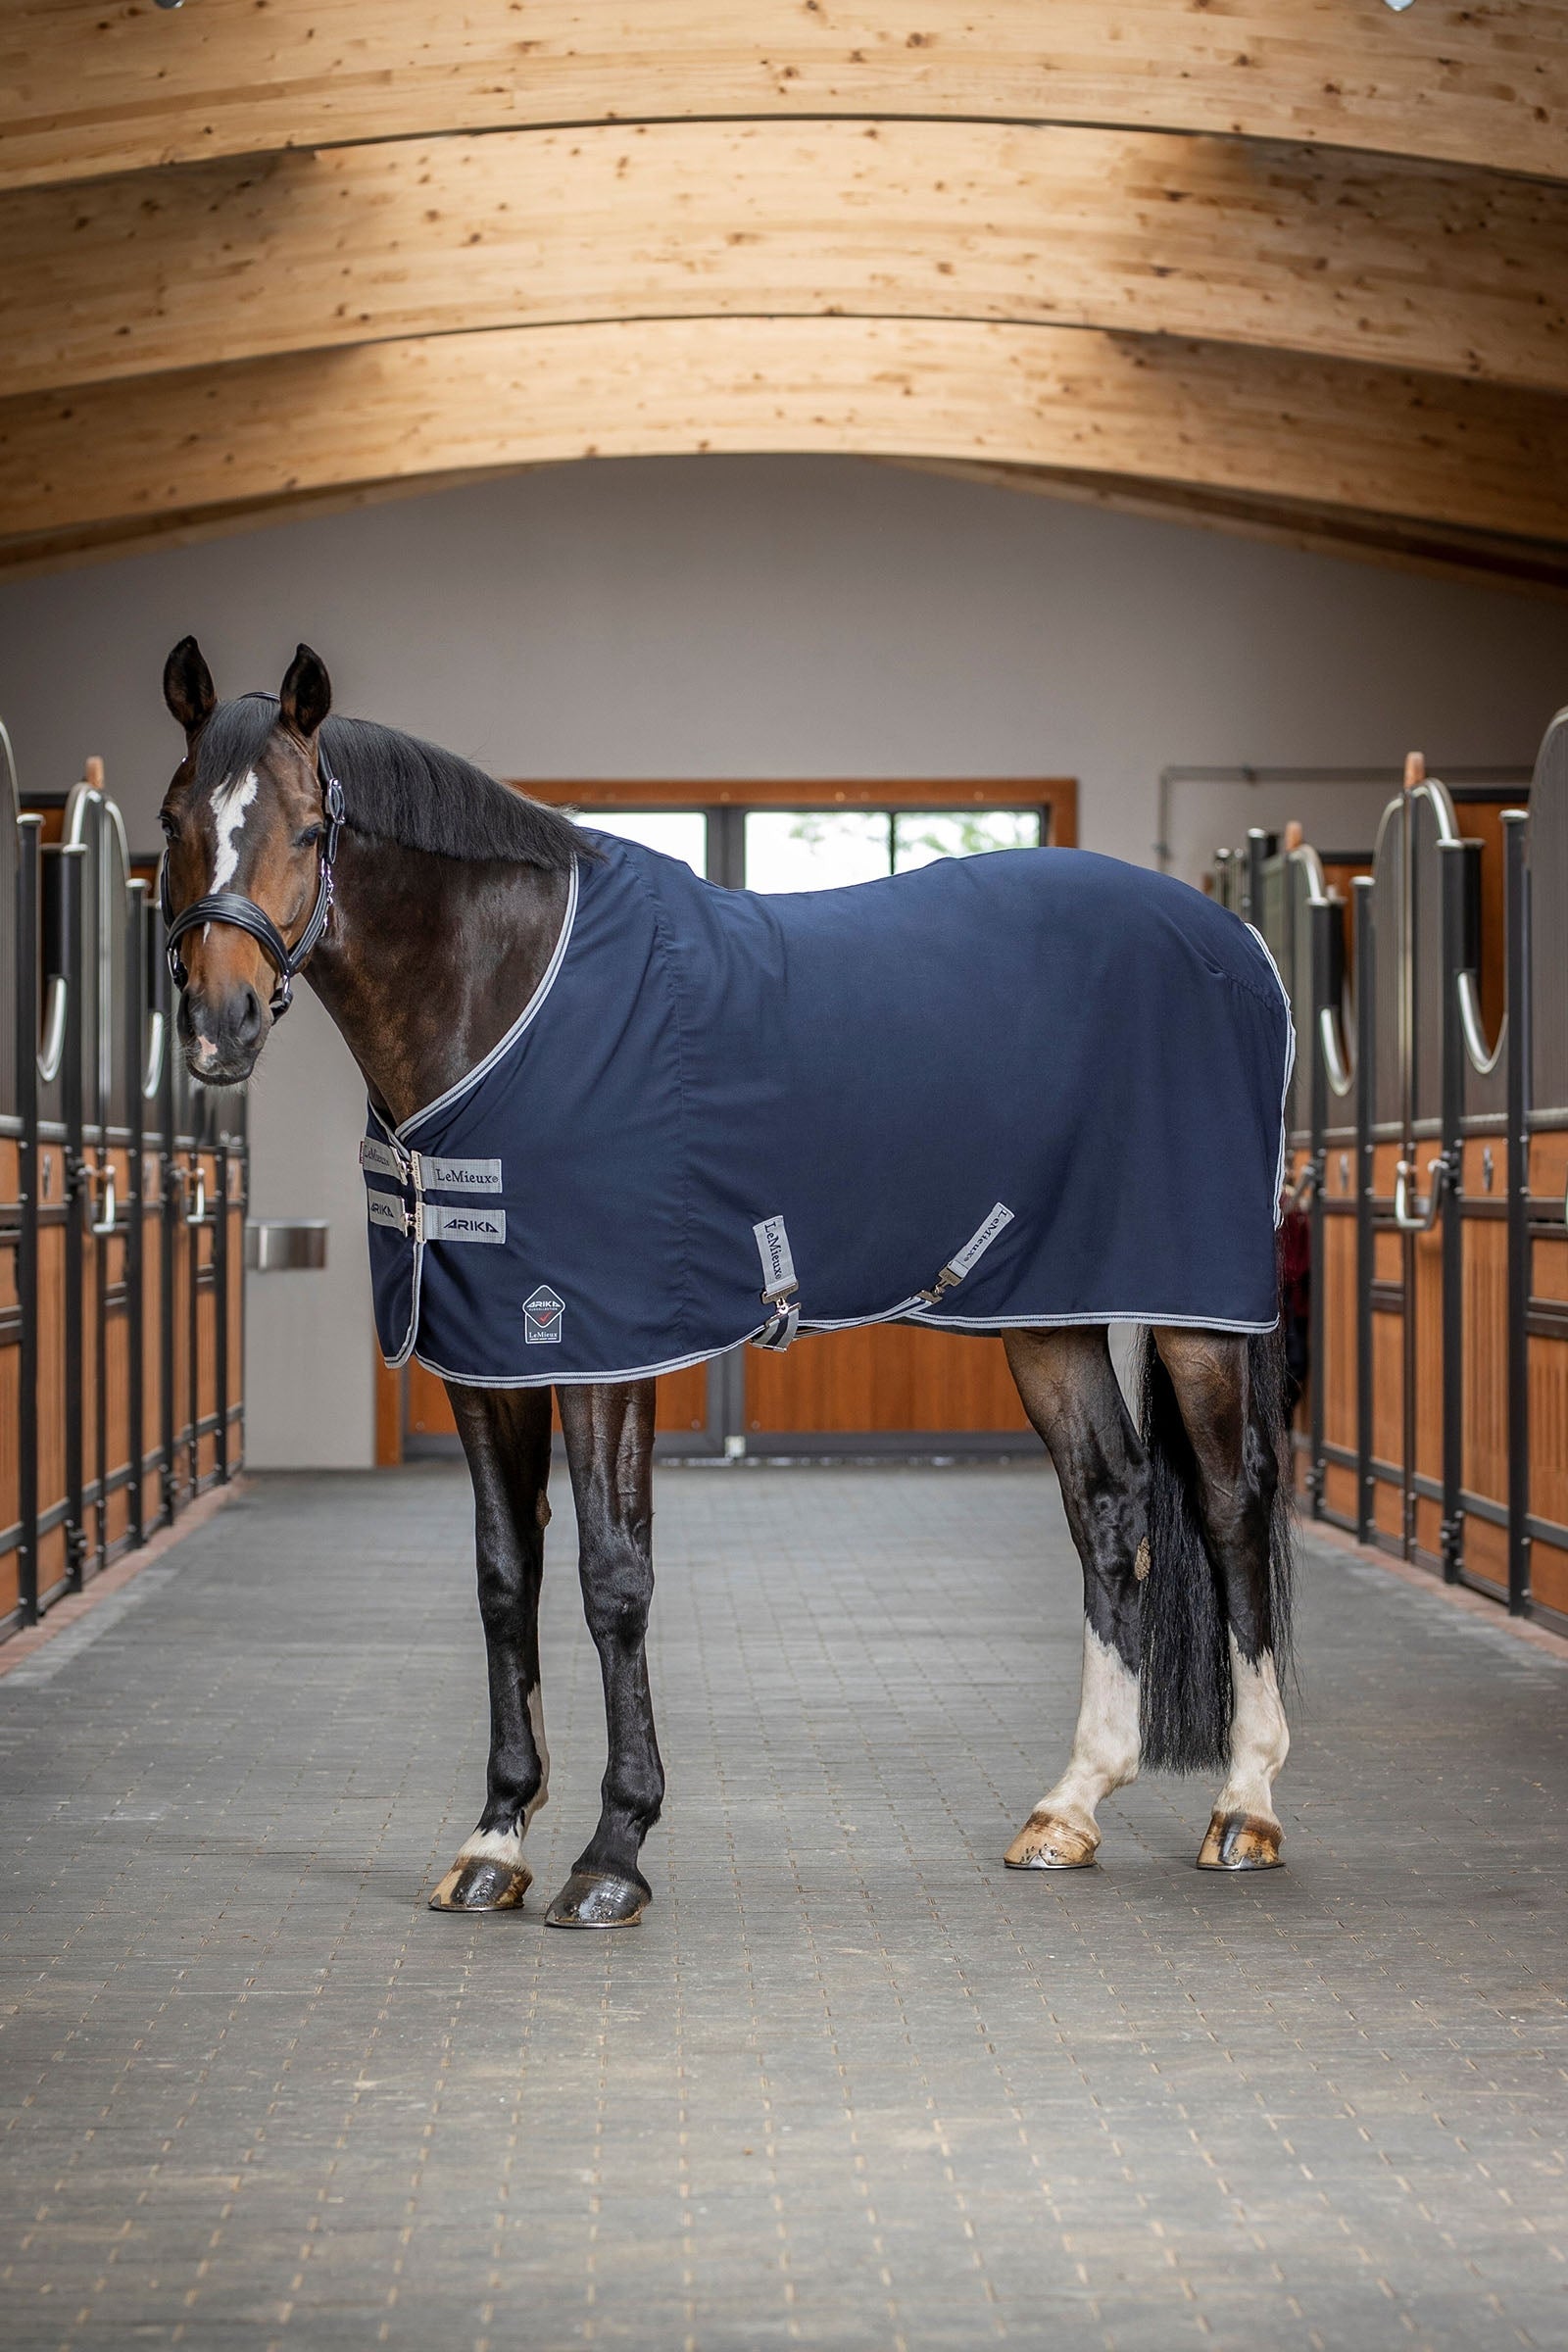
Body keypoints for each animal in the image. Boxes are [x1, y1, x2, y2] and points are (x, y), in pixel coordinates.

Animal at [158, 635, 1294, 1930]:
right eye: (174, 819)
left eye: (308, 829)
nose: (218, 1022)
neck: (504, 995)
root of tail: (1235, 947)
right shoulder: (486, 1355)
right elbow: (504, 1578)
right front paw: (495, 1837)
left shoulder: (601, 1348)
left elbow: (611, 1577)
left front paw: (613, 1851)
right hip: (1045, 1315)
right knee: (1106, 1507)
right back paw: (1071, 1806)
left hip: (1197, 1315)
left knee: (1231, 1507)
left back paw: (1244, 1808)